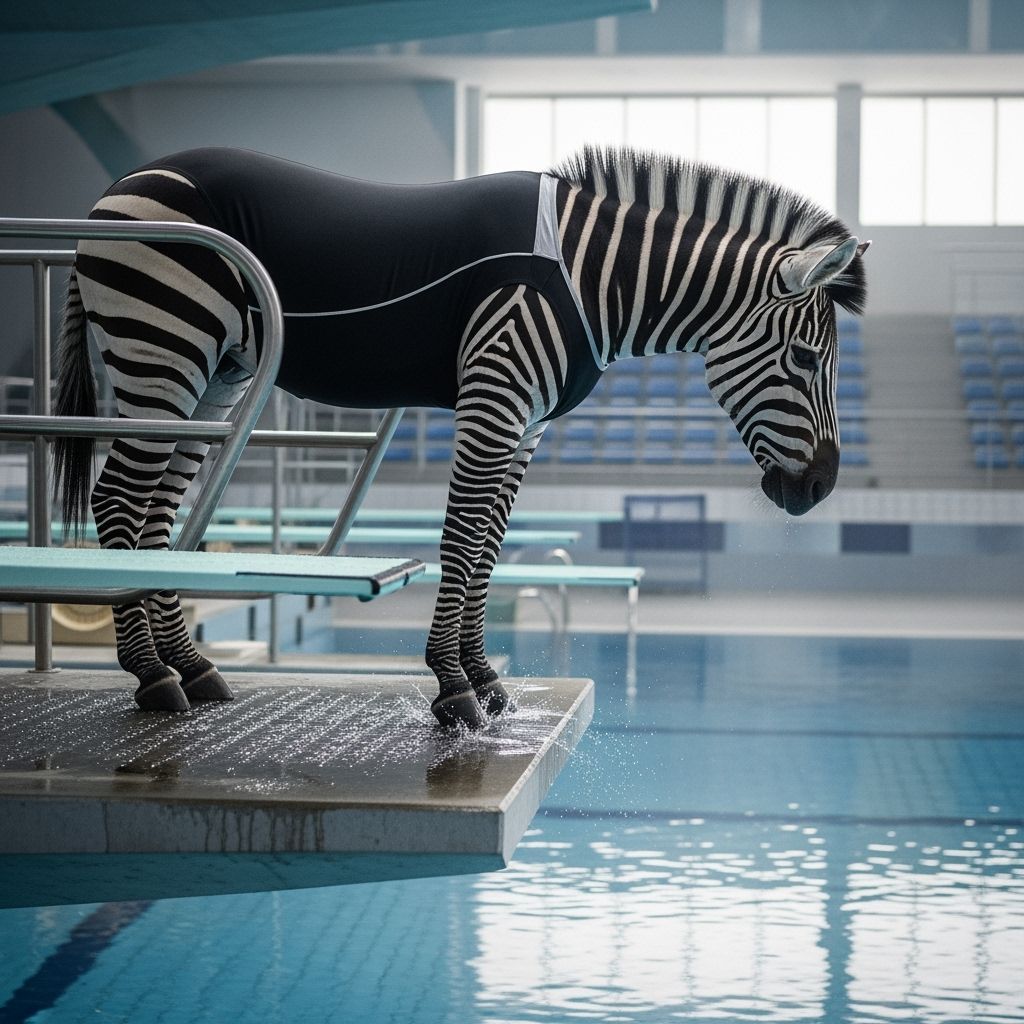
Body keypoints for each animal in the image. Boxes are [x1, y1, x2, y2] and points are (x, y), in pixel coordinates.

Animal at [53, 145, 868, 729]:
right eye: (805, 360)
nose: (823, 485)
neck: (590, 277)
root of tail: (123, 180)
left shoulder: (528, 424)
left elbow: (488, 549)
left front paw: (485, 681)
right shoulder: (494, 395)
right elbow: (462, 539)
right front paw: (452, 689)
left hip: (215, 375)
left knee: (158, 512)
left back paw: (192, 668)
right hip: (165, 344)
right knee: (119, 498)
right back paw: (152, 676)